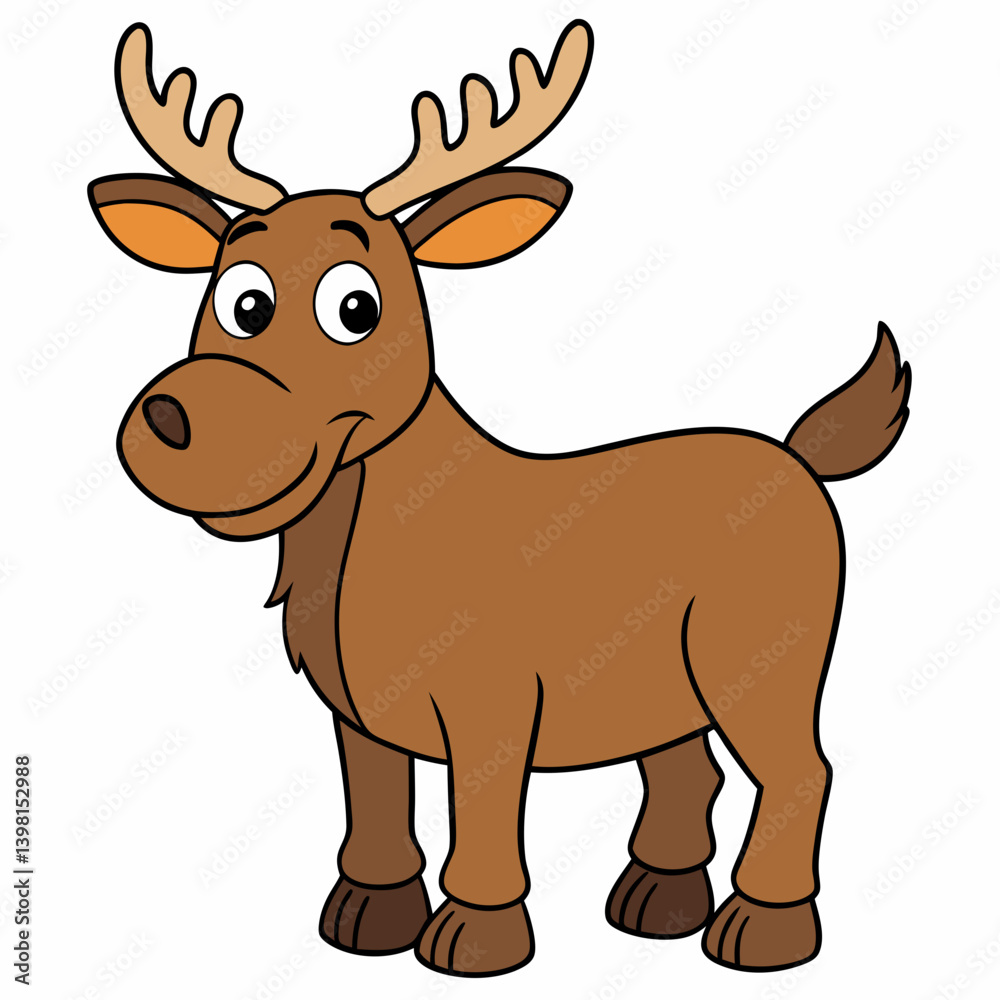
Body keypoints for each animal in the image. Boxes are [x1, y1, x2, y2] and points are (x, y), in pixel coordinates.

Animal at [89, 19, 911, 976]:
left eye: (356, 307)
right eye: (239, 298)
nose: (175, 416)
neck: (365, 539)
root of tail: (798, 457)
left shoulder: (493, 707)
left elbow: (478, 821)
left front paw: (475, 940)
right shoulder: (357, 715)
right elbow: (374, 810)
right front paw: (367, 919)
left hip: (759, 659)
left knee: (799, 772)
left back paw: (762, 930)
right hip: (666, 685)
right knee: (686, 770)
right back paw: (656, 902)